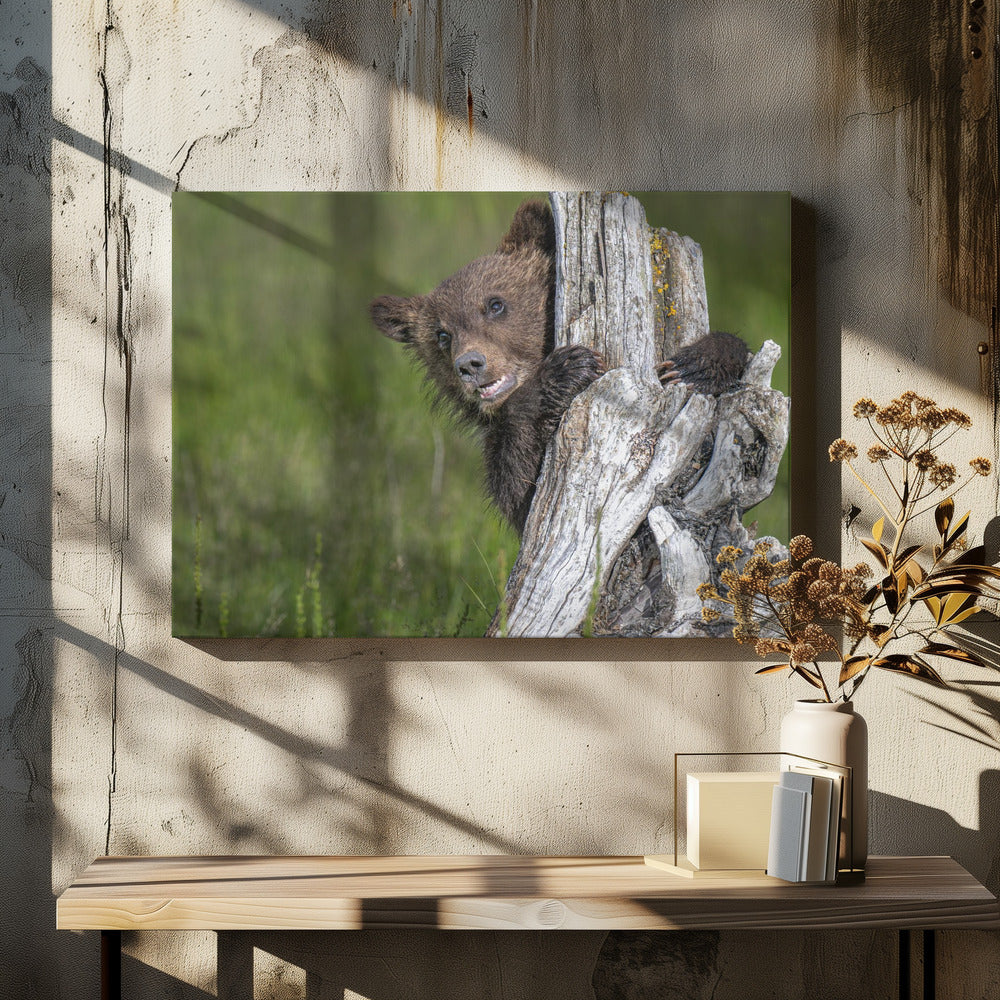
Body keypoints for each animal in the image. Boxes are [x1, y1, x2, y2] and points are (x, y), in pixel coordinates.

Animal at [370, 200, 749, 535]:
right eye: (442, 335)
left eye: (495, 304)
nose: (470, 364)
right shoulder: (507, 460)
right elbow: (521, 492)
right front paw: (565, 370)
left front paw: (695, 364)